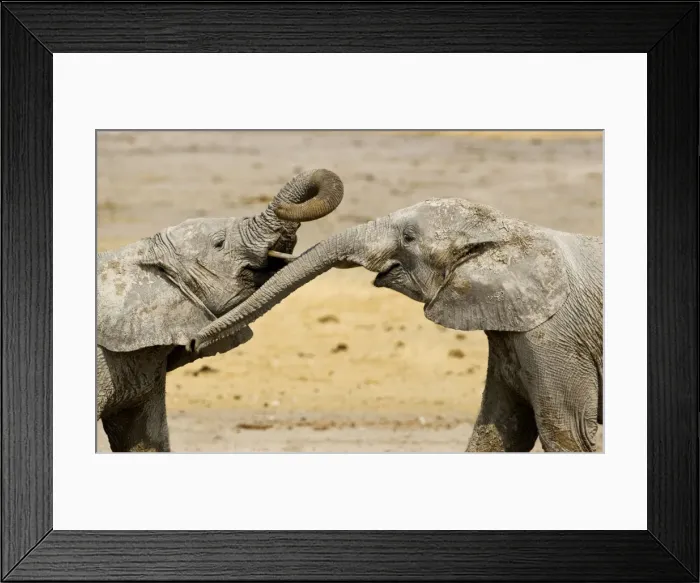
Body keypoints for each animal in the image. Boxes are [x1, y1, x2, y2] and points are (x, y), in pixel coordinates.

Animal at [190, 198, 603, 452]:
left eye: (408, 237)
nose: (192, 343)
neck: (513, 230)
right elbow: (500, 429)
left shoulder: (554, 335)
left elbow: (567, 433)